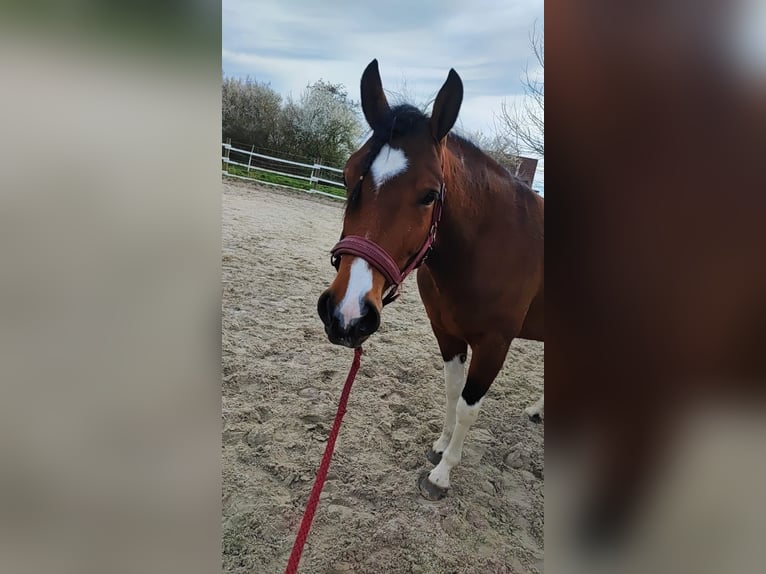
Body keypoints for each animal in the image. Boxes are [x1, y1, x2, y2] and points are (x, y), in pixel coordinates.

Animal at [318, 58, 544, 500]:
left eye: (429, 195)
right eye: (346, 175)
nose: (345, 315)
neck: (491, 244)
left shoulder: (495, 344)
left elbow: (469, 405)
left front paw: (443, 473)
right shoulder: (447, 333)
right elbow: (452, 390)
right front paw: (440, 445)